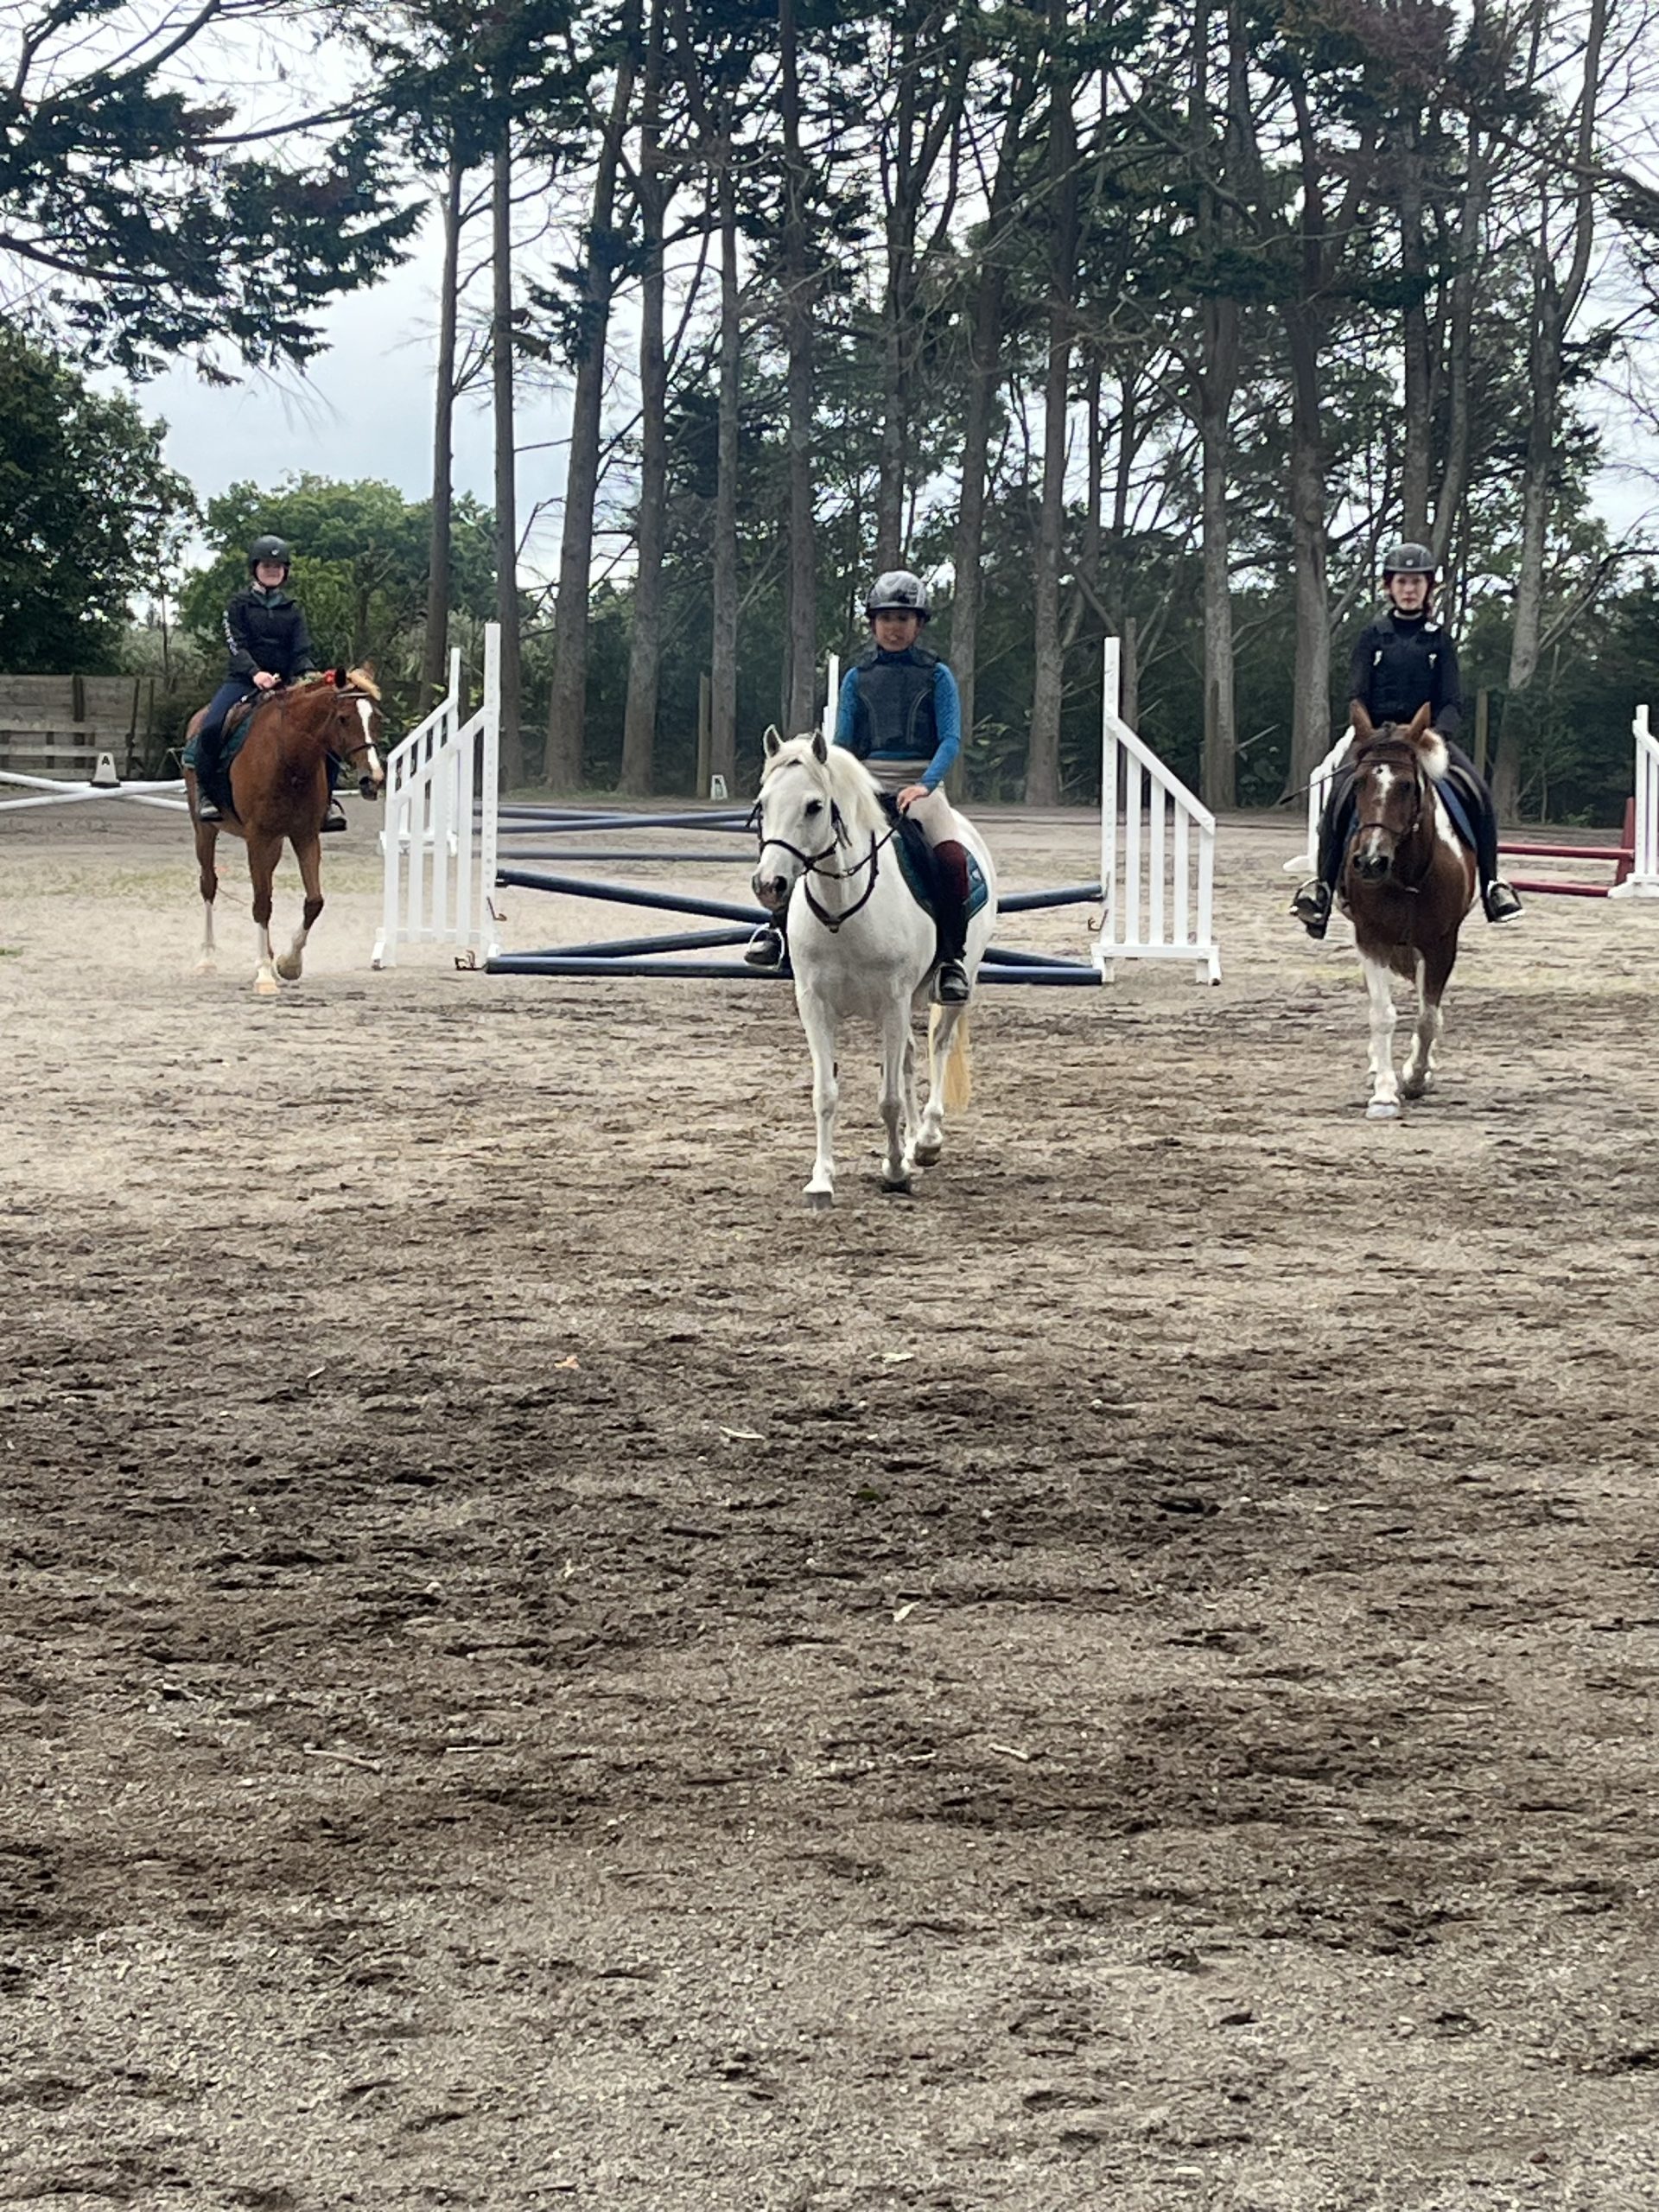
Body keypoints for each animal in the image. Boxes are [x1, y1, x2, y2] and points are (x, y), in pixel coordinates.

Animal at [187, 664, 389, 995]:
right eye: (343, 718)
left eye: (376, 718)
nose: (373, 779)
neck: (290, 758)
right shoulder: (258, 837)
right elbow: (261, 904)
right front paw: (264, 975)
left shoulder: (304, 835)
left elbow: (313, 901)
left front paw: (287, 964)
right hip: (205, 832)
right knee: (209, 885)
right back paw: (206, 959)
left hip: (275, 843)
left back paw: (267, 956)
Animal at [752, 725, 1000, 1211]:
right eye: (763, 802)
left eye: (814, 806)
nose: (769, 884)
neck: (842, 910)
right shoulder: (815, 1004)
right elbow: (826, 1094)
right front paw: (822, 1181)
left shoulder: (893, 1002)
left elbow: (887, 1100)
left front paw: (897, 1173)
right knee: (909, 1058)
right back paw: (911, 1142)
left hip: (951, 987)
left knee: (938, 1046)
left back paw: (926, 1141)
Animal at [1344, 708, 1486, 1115]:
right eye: (1359, 783)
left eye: (1407, 786)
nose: (1371, 862)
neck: (1405, 872)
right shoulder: (1371, 938)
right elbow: (1382, 1014)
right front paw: (1384, 1091)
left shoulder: (1441, 944)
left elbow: (1427, 1016)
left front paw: (1416, 1077)